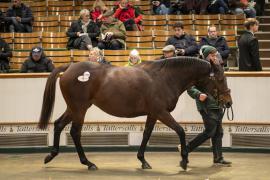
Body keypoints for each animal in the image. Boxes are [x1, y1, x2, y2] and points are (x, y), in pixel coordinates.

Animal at [37, 56, 232, 172]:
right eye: (220, 79)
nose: (228, 102)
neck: (164, 78)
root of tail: (70, 67)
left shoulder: (153, 114)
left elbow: (146, 134)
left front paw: (143, 160)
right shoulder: (161, 112)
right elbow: (180, 131)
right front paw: (184, 160)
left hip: (74, 108)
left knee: (58, 124)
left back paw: (51, 155)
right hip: (80, 109)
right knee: (75, 132)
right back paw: (88, 163)